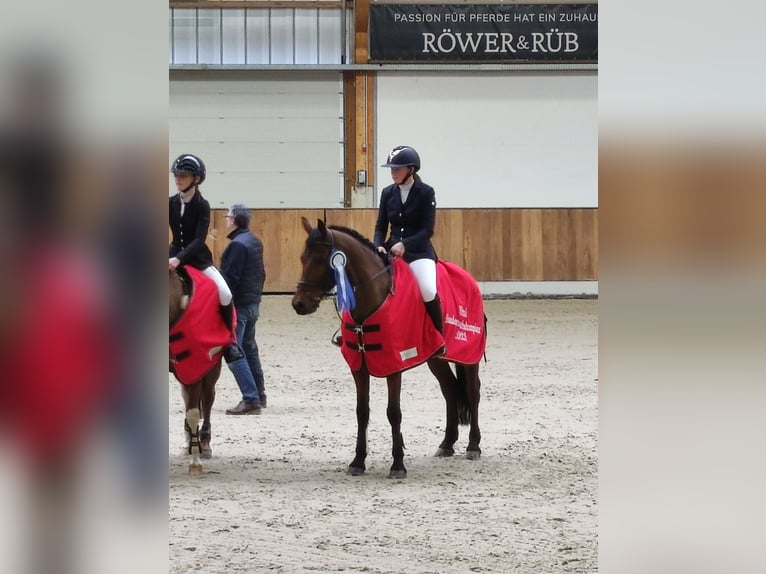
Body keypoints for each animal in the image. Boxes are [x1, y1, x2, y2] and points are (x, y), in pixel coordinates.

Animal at [170, 268, 222, 474]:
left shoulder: (196, 370)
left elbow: (193, 413)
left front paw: (195, 463)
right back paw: (187, 444)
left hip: (211, 371)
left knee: (207, 402)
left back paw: (205, 445)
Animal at [294, 218, 486, 480]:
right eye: (303, 258)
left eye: (321, 260)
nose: (299, 304)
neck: (373, 297)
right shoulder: (359, 367)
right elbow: (362, 412)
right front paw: (358, 461)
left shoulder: (394, 365)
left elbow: (393, 412)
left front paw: (398, 465)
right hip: (436, 359)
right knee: (449, 389)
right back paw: (447, 444)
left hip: (468, 355)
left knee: (473, 391)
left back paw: (473, 446)